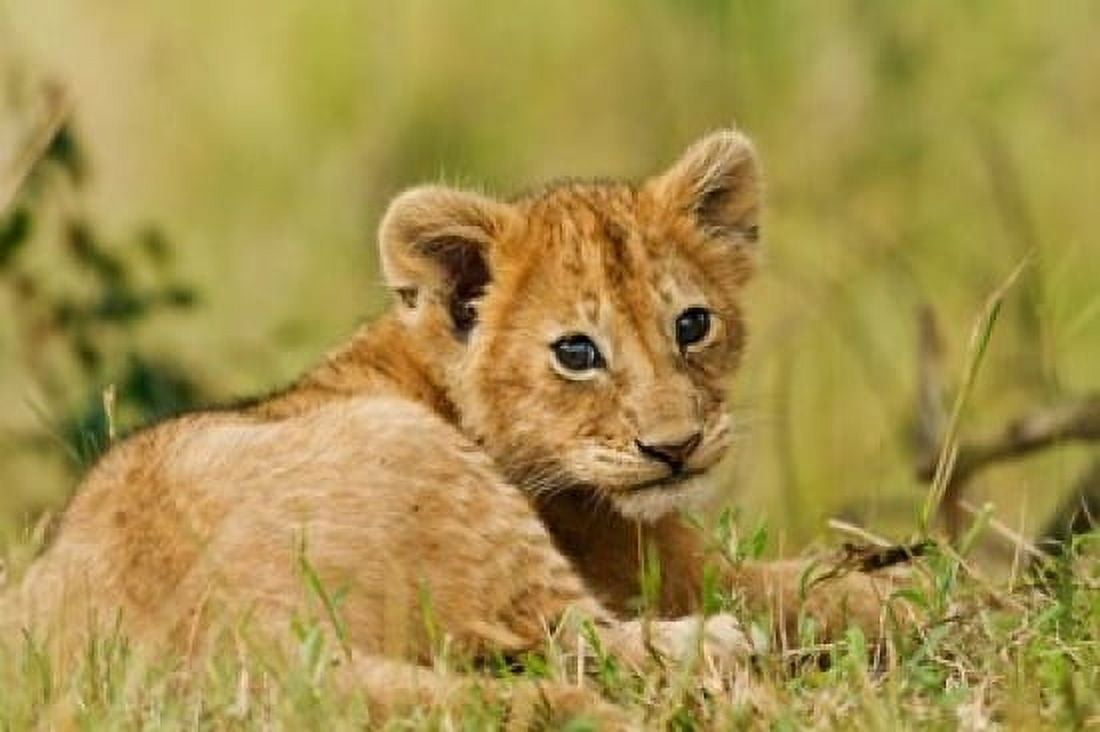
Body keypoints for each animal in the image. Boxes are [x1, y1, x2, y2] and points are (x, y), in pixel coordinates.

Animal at [0, 130, 902, 724]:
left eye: (692, 325)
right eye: (577, 352)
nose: (675, 448)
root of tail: (228, 641)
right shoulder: (664, 568)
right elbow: (809, 590)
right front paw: (894, 592)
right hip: (438, 478)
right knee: (578, 644)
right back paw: (714, 647)